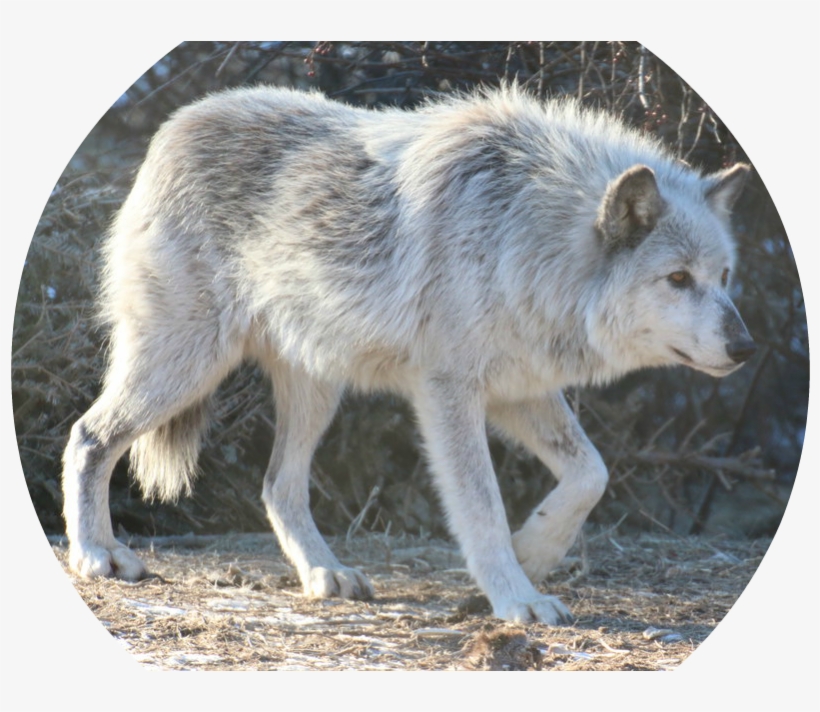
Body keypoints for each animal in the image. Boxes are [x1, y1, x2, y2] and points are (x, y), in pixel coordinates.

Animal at [61, 85, 755, 623]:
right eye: (677, 279)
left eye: (723, 277)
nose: (746, 346)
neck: (522, 234)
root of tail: (175, 125)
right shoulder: (448, 393)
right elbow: (482, 508)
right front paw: (518, 598)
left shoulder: (520, 389)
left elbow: (592, 474)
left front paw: (535, 552)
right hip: (186, 364)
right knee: (89, 436)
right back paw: (97, 554)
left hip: (315, 390)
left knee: (277, 486)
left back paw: (326, 574)